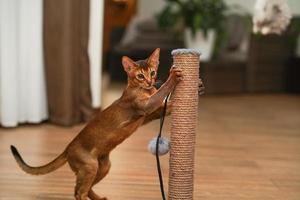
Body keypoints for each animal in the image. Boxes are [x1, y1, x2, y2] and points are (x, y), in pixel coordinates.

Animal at [11, 48, 204, 200]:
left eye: (153, 72)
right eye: (140, 76)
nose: (150, 82)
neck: (145, 90)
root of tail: (67, 148)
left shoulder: (151, 114)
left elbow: (167, 103)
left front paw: (199, 87)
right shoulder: (145, 107)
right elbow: (162, 91)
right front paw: (173, 77)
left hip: (103, 167)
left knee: (82, 189)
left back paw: (99, 198)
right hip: (90, 167)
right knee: (78, 192)